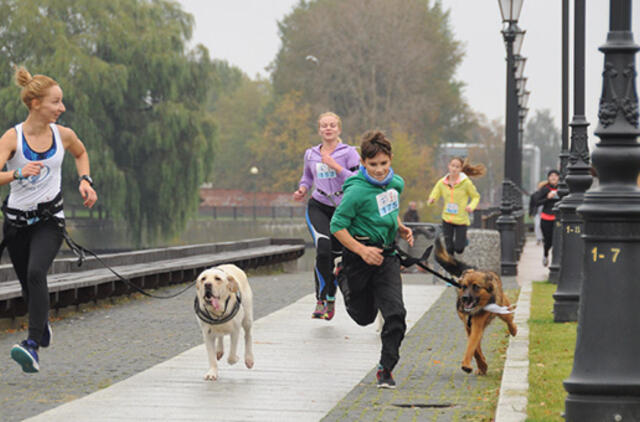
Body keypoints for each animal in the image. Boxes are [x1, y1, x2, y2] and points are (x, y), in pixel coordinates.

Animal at [432, 239, 516, 374]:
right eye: (464, 286)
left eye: (476, 287)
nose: (464, 298)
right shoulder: (469, 326)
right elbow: (475, 349)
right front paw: (481, 365)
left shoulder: (477, 325)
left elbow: (472, 345)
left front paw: (468, 364)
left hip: (502, 309)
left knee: (509, 318)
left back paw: (513, 329)